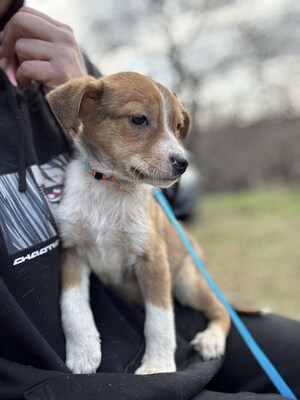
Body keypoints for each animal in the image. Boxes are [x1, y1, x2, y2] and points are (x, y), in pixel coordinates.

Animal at [46, 72, 230, 376]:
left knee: (222, 309)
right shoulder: (72, 252)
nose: (183, 163)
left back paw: (211, 339)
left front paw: (157, 366)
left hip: (186, 282)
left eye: (177, 127)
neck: (110, 187)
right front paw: (83, 352)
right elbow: (72, 305)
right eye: (139, 119)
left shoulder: (153, 260)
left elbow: (160, 320)